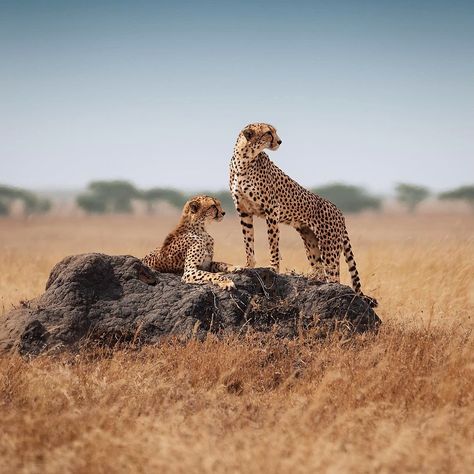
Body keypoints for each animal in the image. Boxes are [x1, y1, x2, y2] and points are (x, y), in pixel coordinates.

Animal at [230, 122, 378, 308]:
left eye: (274, 131)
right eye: (268, 132)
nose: (279, 141)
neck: (245, 160)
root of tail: (339, 211)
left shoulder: (271, 210)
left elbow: (273, 243)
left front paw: (273, 268)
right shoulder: (243, 211)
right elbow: (248, 241)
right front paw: (248, 265)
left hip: (329, 246)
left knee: (334, 276)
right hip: (310, 241)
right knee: (320, 269)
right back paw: (313, 278)